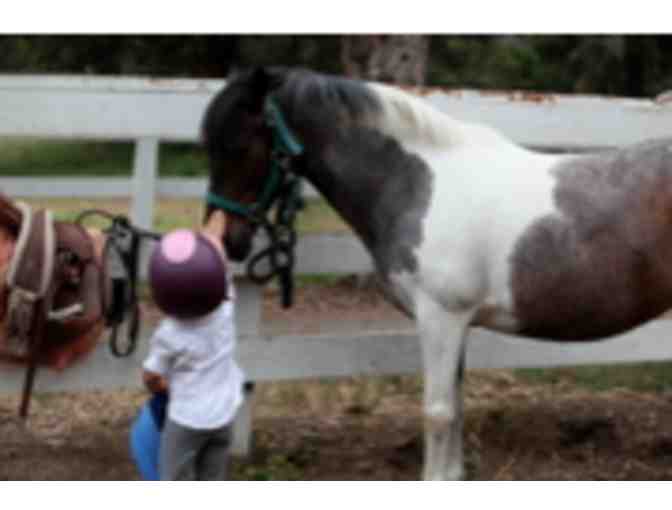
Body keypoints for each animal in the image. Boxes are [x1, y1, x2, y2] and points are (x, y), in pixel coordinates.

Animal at [202, 66, 672, 478]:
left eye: (239, 145)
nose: (227, 240)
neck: (417, 183)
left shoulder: (440, 317)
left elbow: (438, 413)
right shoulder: (457, 323)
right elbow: (457, 407)